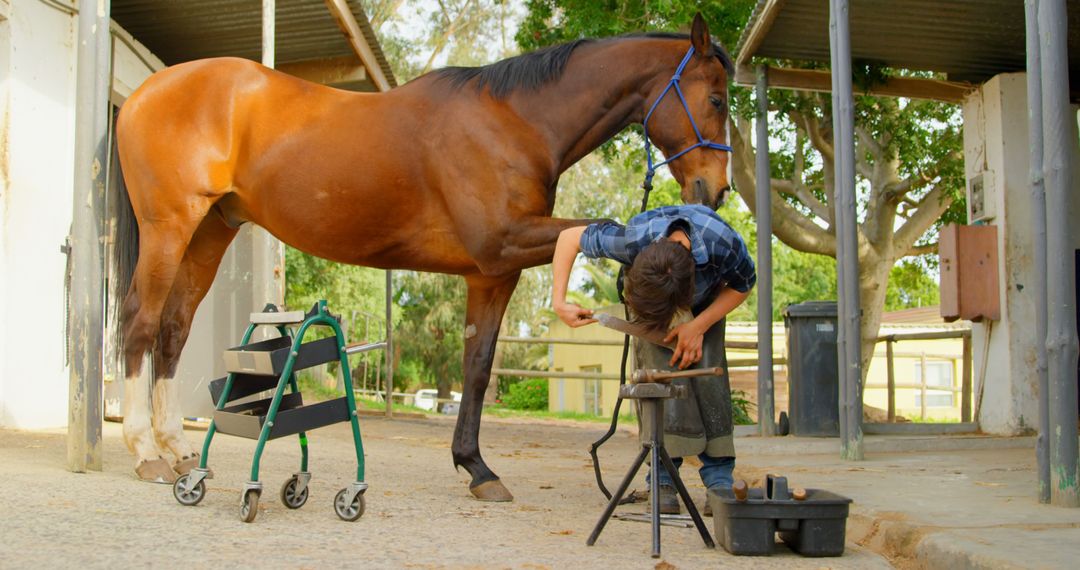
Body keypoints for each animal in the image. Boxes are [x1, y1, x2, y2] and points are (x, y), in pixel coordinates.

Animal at [113, 15, 730, 500]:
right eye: (717, 99)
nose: (715, 193)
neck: (513, 122)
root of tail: (149, 89)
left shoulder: (492, 273)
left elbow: (477, 367)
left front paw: (476, 467)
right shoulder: (503, 241)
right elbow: (607, 229)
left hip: (210, 232)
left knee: (173, 329)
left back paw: (179, 451)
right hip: (171, 227)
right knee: (140, 323)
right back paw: (145, 453)